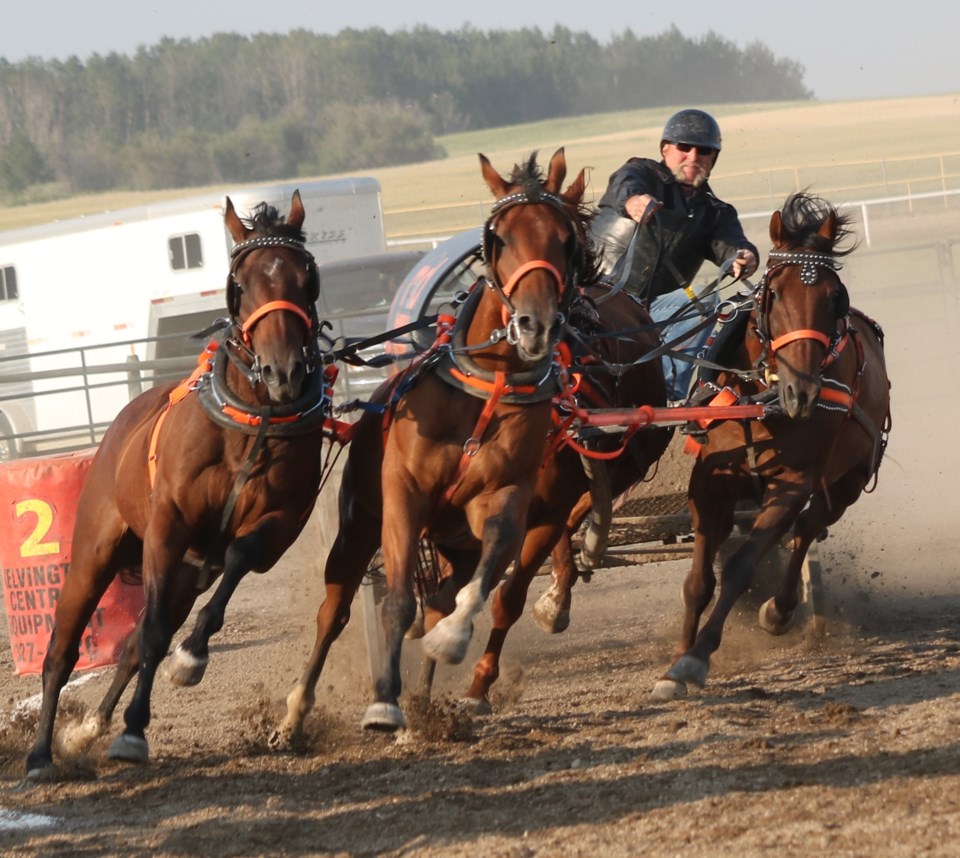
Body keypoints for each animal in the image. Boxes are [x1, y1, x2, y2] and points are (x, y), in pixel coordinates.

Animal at [25, 192, 334, 776]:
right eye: (242, 282)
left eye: (306, 277)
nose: (284, 371)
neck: (251, 422)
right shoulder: (167, 529)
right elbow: (146, 636)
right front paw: (132, 733)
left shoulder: (278, 525)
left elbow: (236, 560)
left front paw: (189, 660)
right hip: (94, 554)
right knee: (63, 650)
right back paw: (39, 754)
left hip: (189, 573)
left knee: (136, 643)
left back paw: (90, 729)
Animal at [652, 191, 892, 700]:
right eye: (774, 294)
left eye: (833, 297)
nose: (803, 393)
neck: (762, 398)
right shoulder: (710, 483)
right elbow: (699, 580)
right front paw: (674, 663)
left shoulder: (793, 484)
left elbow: (741, 568)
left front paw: (695, 658)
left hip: (848, 481)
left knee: (807, 529)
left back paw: (780, 610)